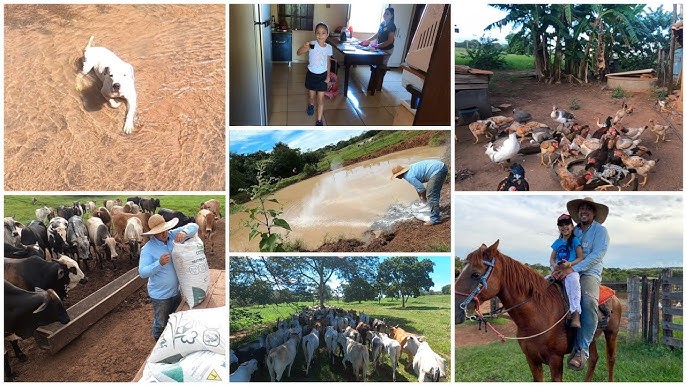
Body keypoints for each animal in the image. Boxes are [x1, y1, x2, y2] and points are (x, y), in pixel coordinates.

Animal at [456, 240, 624, 382]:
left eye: (475, 274)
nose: (457, 313)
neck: (540, 313)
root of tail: (614, 296)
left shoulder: (556, 361)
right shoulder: (532, 359)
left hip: (612, 333)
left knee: (611, 360)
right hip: (592, 338)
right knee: (593, 359)